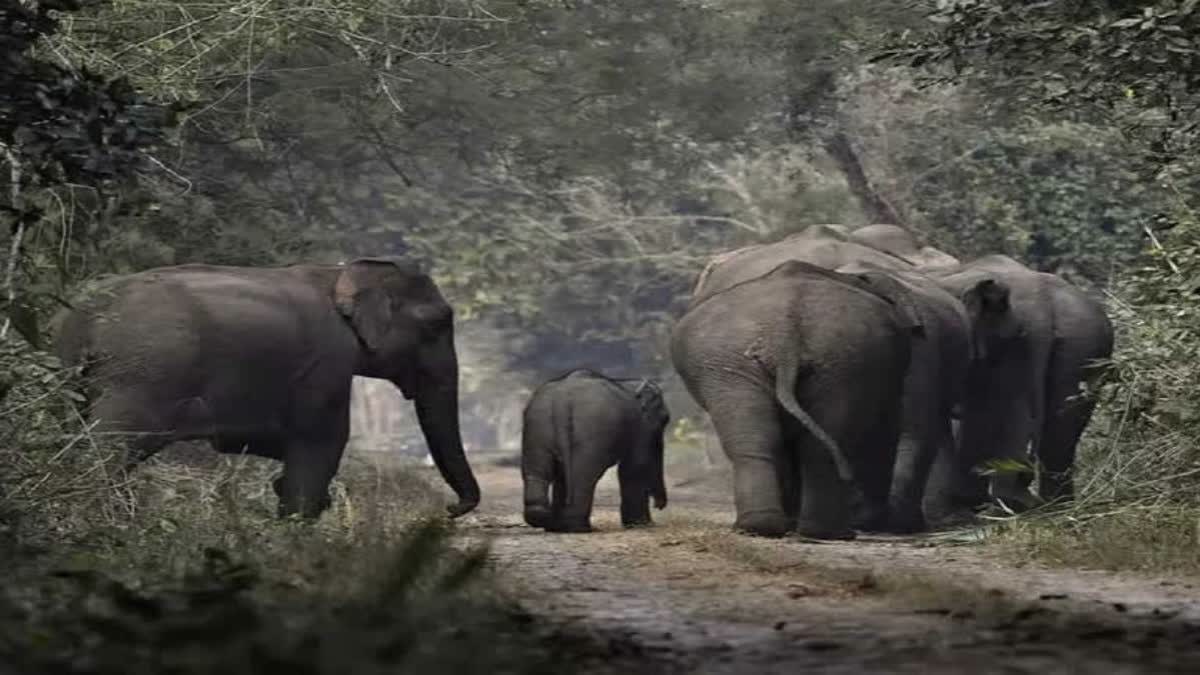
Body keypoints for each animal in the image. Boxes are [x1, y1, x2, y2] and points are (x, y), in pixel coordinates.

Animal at [50, 255, 482, 514]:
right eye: (436, 324)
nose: (449, 509)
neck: (338, 274)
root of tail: (90, 314)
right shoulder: (327, 362)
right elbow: (322, 443)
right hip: (140, 377)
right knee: (110, 448)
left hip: (71, 370)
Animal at [520, 367, 672, 530]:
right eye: (665, 419)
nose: (659, 505)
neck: (627, 383)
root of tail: (562, 401)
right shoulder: (641, 426)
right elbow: (635, 467)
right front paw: (641, 524)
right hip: (591, 428)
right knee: (584, 475)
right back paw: (578, 527)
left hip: (538, 424)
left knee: (538, 471)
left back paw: (552, 523)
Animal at [672, 257, 912, 535]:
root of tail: (785, 332)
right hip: (834, 359)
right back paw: (823, 532)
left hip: (831, 360)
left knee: (766, 439)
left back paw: (770, 527)